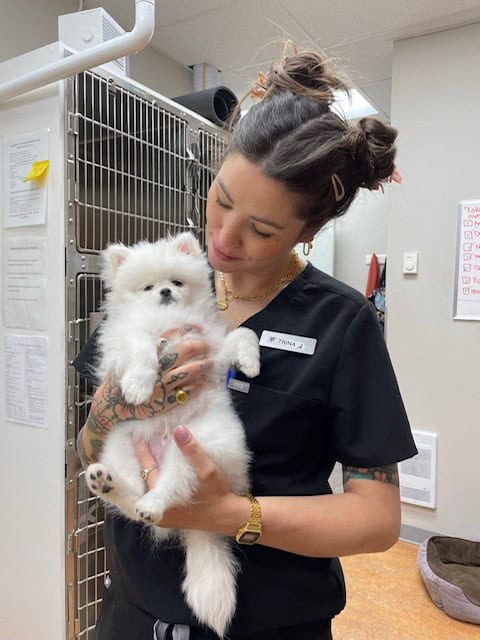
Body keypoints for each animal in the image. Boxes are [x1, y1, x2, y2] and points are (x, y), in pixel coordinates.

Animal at [84, 232, 260, 636]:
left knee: (173, 486)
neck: (171, 320)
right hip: (119, 444)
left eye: (176, 282)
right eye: (148, 287)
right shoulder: (126, 340)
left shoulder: (211, 346)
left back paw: (154, 502)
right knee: (131, 496)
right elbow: (143, 348)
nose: (165, 291)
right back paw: (108, 484)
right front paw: (137, 386)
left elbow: (242, 333)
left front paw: (252, 361)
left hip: (197, 444)